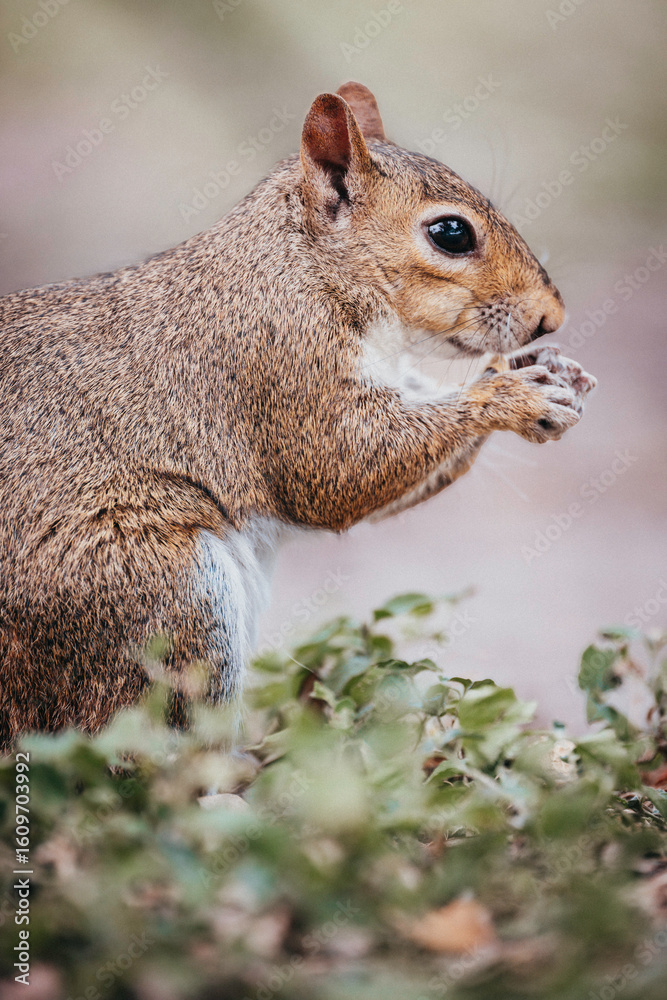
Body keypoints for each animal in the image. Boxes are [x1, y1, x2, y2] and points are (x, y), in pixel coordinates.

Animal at [0, 82, 596, 750]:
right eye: (451, 234)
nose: (551, 317)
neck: (306, 269)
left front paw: (557, 374)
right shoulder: (281, 365)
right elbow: (337, 473)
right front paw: (514, 395)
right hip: (155, 594)